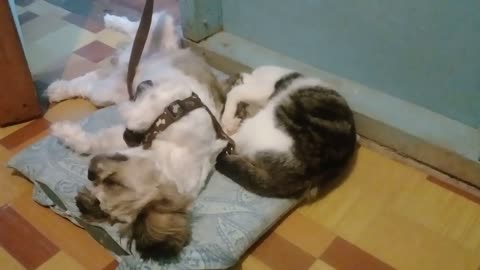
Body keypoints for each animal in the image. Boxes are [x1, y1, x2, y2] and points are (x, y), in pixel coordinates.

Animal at [44, 11, 227, 258]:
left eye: (111, 184)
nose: (91, 173)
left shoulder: (117, 139)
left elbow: (89, 143)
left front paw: (65, 132)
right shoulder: (178, 102)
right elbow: (143, 109)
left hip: (107, 92)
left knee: (87, 86)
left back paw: (58, 90)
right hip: (158, 33)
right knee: (141, 25)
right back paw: (113, 21)